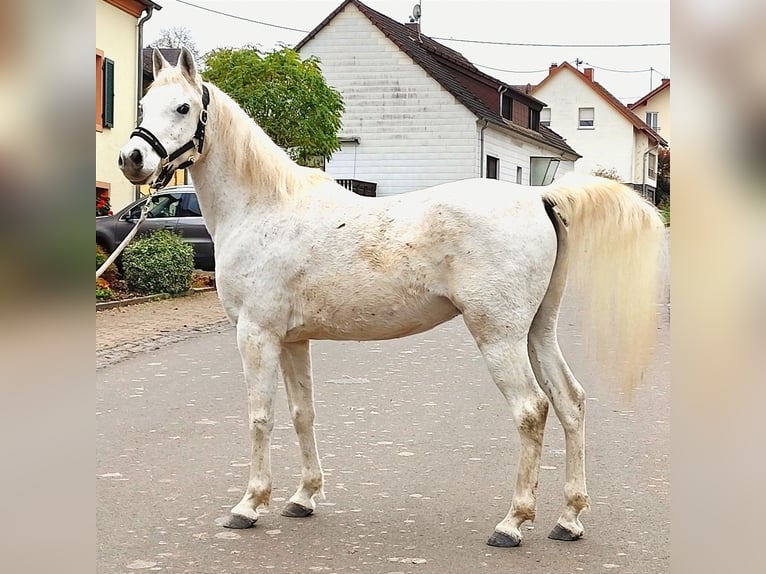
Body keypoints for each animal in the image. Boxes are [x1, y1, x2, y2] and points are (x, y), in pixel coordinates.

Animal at [120, 47, 664, 552]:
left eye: (184, 107)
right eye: (144, 103)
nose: (132, 159)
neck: (265, 207)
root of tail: (539, 197)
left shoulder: (257, 334)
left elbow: (260, 417)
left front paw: (250, 504)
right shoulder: (293, 340)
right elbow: (302, 413)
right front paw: (303, 497)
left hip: (499, 336)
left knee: (532, 410)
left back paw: (513, 522)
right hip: (537, 331)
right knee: (571, 402)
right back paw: (568, 519)